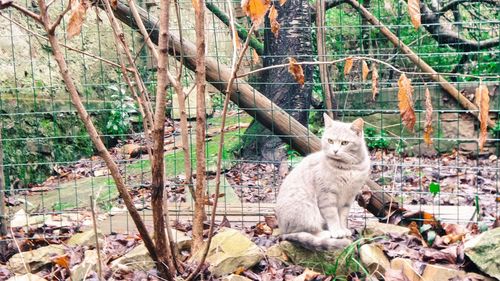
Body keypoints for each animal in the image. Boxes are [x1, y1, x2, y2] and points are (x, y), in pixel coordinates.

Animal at [274, 114, 372, 249]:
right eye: (330, 141)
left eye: (344, 143)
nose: (335, 151)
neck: (349, 168)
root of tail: (281, 230)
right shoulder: (327, 194)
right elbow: (333, 216)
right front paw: (337, 231)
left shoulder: (349, 197)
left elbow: (342, 216)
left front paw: (343, 229)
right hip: (307, 210)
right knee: (303, 232)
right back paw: (326, 233)